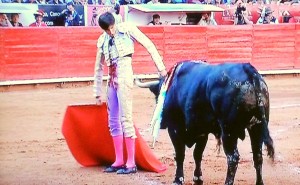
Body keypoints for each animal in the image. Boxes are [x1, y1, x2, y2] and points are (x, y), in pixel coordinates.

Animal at [136, 61, 274, 185]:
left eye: (158, 95)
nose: (162, 122)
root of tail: (248, 69)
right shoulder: (202, 132)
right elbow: (197, 154)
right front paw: (198, 178)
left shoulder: (174, 129)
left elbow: (180, 154)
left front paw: (178, 180)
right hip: (257, 127)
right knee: (257, 155)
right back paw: (259, 182)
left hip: (228, 130)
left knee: (233, 158)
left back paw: (227, 182)